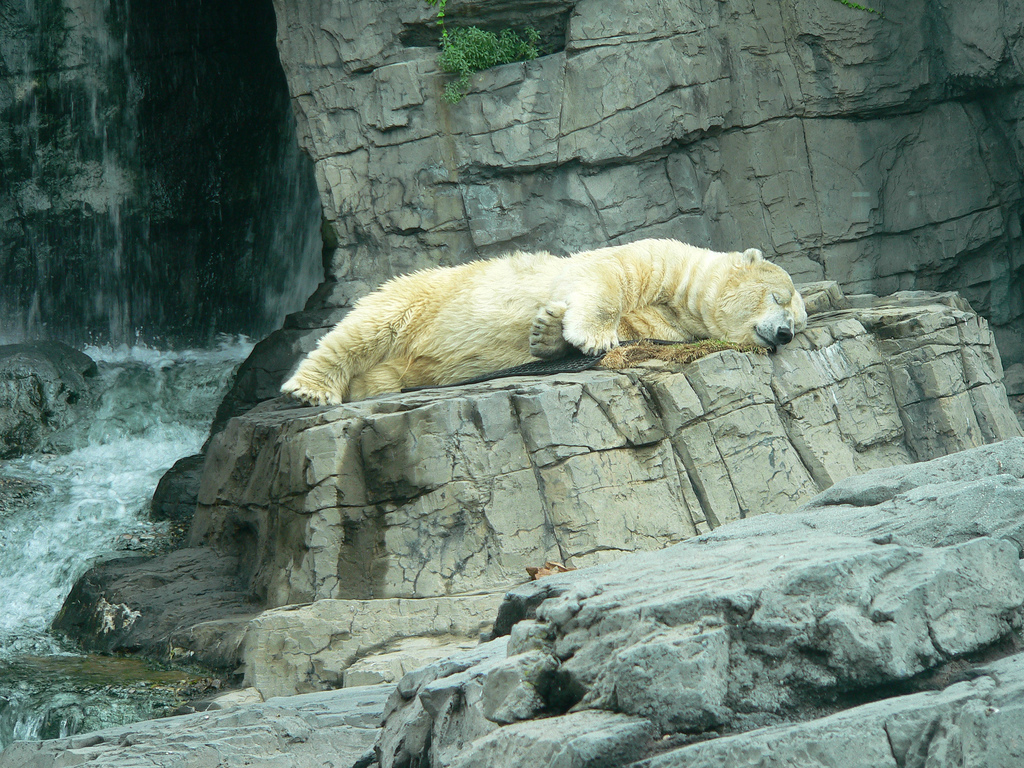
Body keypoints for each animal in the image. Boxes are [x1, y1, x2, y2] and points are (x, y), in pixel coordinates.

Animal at [282, 239, 806, 409]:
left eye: (799, 321)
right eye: (778, 296)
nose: (784, 334)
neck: (680, 291)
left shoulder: (665, 320)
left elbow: (630, 331)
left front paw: (548, 332)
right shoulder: (653, 256)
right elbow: (603, 275)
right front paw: (587, 332)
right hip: (422, 296)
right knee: (367, 329)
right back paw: (312, 388)